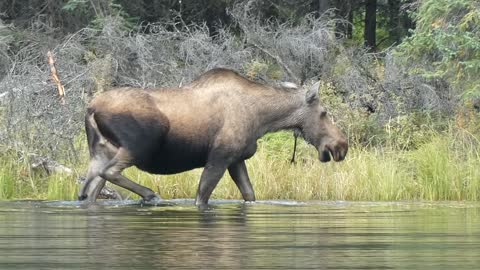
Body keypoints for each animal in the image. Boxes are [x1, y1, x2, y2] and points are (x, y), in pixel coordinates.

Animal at [79, 68, 348, 206]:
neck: (262, 119)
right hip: (139, 146)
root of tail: (91, 108)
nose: (341, 145)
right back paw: (150, 194)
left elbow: (249, 194)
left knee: (89, 189)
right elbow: (202, 196)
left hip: (102, 150)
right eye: (324, 112)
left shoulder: (236, 160)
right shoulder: (220, 156)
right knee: (109, 173)